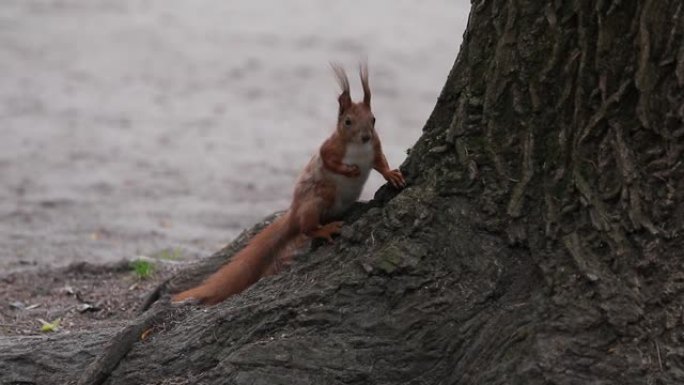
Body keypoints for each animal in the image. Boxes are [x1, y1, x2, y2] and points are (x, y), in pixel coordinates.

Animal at [172, 62, 406, 304]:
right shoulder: (330, 147)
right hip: (320, 197)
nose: (365, 136)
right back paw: (325, 230)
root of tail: (294, 212)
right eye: (347, 121)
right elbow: (328, 160)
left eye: (373, 119)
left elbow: (380, 162)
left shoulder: (375, 147)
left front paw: (391, 175)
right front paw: (349, 170)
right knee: (307, 228)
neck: (359, 148)